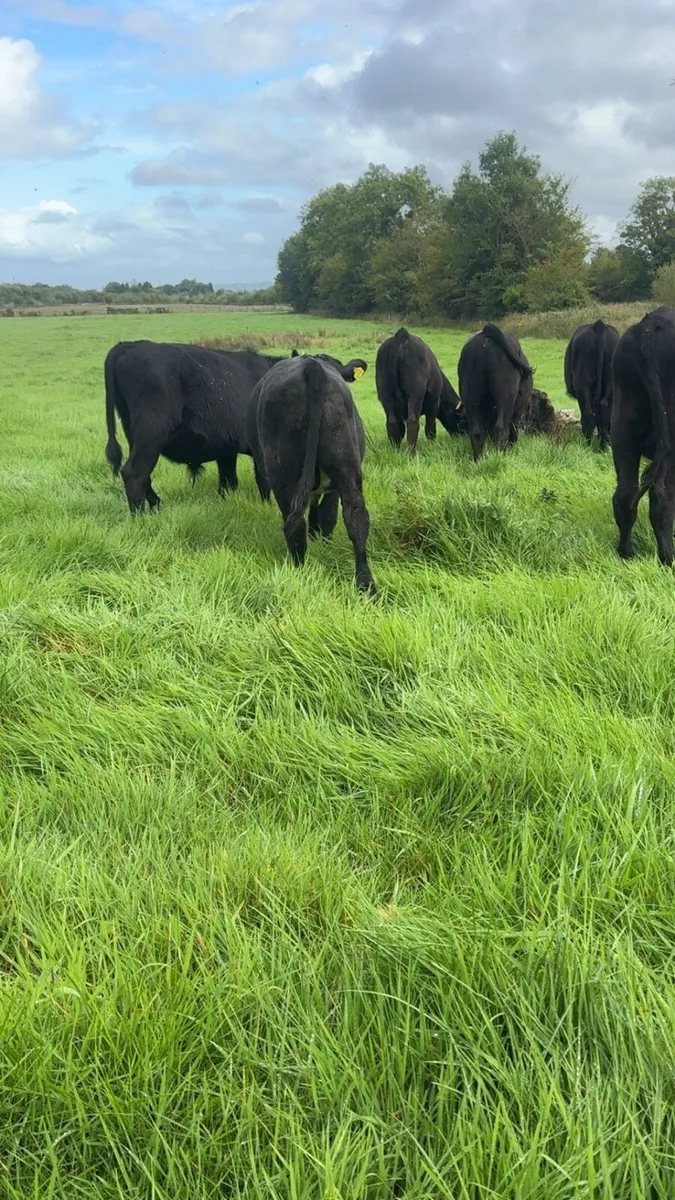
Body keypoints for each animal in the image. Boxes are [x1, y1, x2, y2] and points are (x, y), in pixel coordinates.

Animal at [104, 339, 289, 512]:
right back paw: (141, 516)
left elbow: (228, 482)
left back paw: (157, 507)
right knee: (134, 473)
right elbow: (264, 481)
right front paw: (267, 506)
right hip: (151, 432)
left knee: (144, 477)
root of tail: (131, 344)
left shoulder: (227, 449)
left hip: (134, 433)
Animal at [246, 352, 376, 593]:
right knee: (356, 515)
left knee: (295, 523)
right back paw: (366, 585)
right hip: (345, 465)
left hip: (284, 476)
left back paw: (299, 574)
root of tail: (312, 366)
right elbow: (325, 516)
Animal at [457, 323, 533, 461]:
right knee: (501, 428)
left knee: (477, 432)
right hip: (506, 397)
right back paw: (499, 457)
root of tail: (485, 332)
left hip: (470, 397)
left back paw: (478, 460)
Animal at [564, 318, 620, 449]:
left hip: (582, 384)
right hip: (610, 383)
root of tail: (598, 325)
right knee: (604, 410)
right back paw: (604, 446)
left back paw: (587, 445)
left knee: (588, 414)